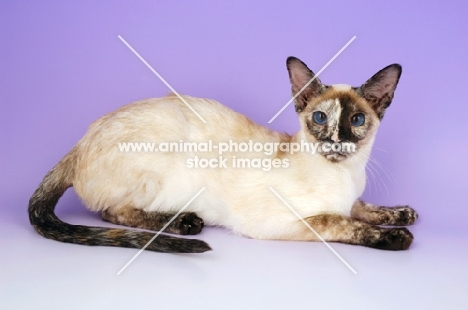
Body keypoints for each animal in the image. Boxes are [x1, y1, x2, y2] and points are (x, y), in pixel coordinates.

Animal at [28, 57, 416, 253]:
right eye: (320, 118)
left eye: (357, 120)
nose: (336, 140)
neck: (344, 174)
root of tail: (79, 142)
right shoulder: (285, 221)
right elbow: (340, 222)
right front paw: (394, 236)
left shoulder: (352, 199)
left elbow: (361, 208)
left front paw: (401, 214)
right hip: (160, 162)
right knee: (113, 212)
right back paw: (183, 223)